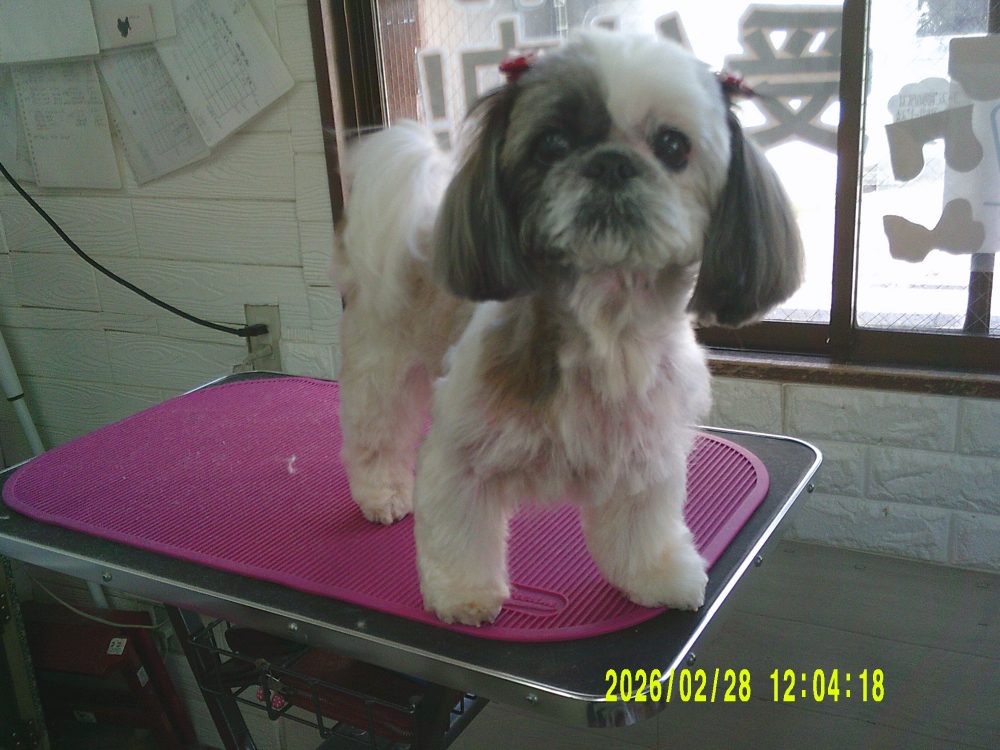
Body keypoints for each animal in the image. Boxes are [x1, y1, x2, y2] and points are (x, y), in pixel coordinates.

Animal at [333, 29, 802, 626]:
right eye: (552, 144)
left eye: (674, 146)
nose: (611, 164)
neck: (607, 326)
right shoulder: (460, 451)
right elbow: (458, 531)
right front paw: (463, 595)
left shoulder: (645, 449)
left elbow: (642, 527)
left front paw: (654, 575)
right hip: (383, 363)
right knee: (375, 433)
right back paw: (382, 494)